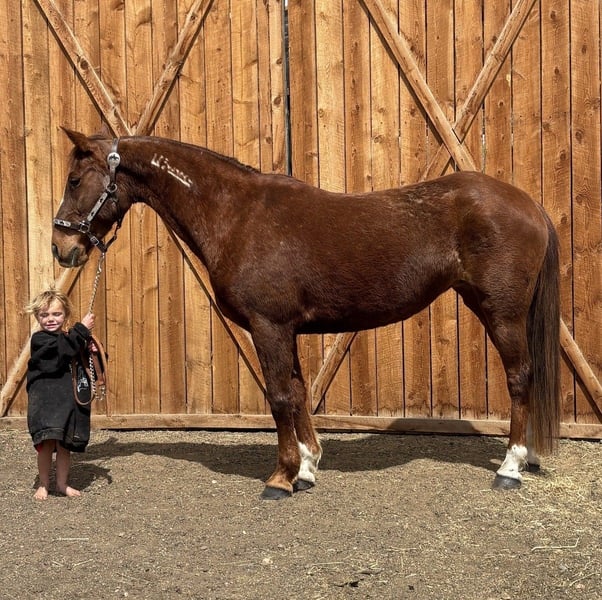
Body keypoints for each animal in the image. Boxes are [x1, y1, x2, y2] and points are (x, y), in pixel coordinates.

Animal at [52, 128, 561, 499]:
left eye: (75, 181)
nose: (61, 248)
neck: (237, 215)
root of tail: (529, 203)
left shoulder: (269, 327)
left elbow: (279, 397)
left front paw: (280, 479)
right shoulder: (286, 330)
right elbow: (297, 393)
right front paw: (308, 467)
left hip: (502, 312)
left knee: (520, 377)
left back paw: (511, 467)